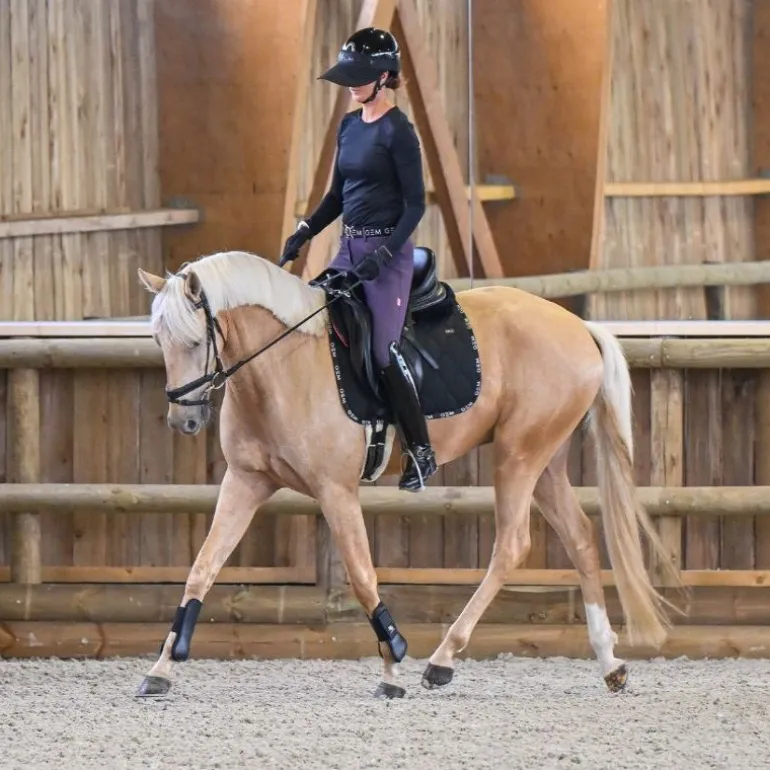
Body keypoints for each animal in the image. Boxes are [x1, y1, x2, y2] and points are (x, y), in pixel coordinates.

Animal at [134, 247, 682, 700]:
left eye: (194, 340)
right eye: (158, 339)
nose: (182, 421)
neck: (283, 363)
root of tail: (579, 327)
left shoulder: (335, 491)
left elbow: (361, 576)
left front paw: (392, 666)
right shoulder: (246, 481)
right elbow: (202, 568)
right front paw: (161, 669)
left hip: (519, 455)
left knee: (512, 544)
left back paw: (442, 659)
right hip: (544, 460)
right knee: (582, 538)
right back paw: (610, 662)